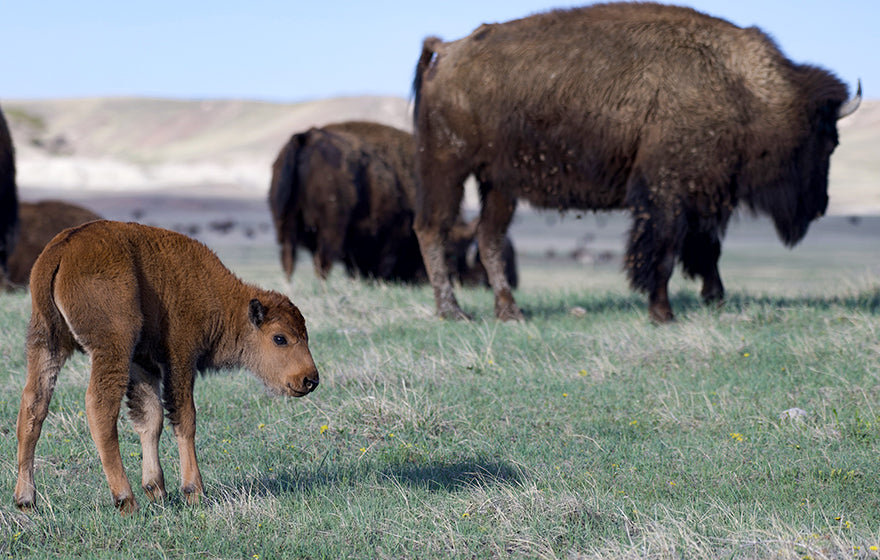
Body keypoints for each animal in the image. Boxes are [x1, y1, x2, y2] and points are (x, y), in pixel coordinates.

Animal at [12, 221, 320, 516]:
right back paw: (126, 500)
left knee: (33, 406)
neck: (218, 297)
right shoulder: (180, 358)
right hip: (112, 347)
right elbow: (184, 418)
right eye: (279, 338)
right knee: (100, 408)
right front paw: (194, 492)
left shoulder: (142, 364)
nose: (310, 380)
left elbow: (151, 419)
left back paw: (26, 500)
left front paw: (157, 490)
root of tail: (62, 250)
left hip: (45, 342)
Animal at [268, 121, 516, 288]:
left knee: (289, 260)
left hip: (285, 225)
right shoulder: (393, 235)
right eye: (452, 253)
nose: (473, 281)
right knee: (322, 261)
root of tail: (305, 137)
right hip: (330, 230)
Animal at [410, 0, 860, 322]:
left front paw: (715, 301)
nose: (821, 206)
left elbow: (707, 250)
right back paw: (453, 312)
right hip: (446, 167)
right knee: (433, 229)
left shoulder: (705, 195)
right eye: (827, 141)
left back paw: (510, 312)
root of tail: (446, 51)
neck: (743, 87)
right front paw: (663, 313)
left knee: (489, 238)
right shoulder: (667, 193)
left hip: (499, 184)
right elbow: (662, 251)